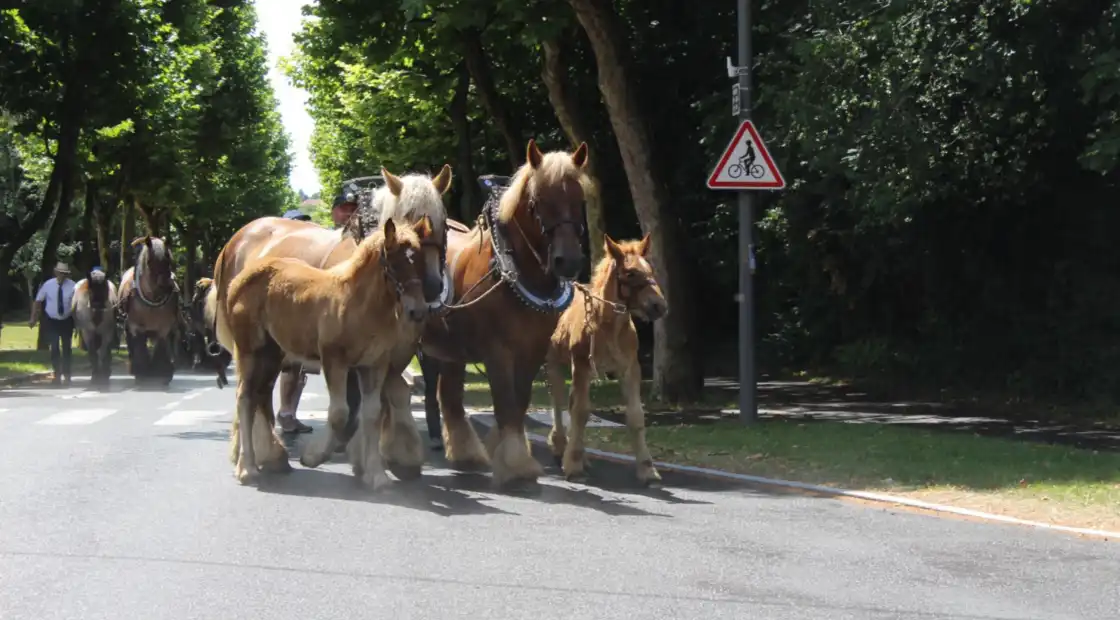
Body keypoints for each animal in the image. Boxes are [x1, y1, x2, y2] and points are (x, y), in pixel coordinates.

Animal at [118, 236, 180, 386]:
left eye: (168, 259)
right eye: (149, 261)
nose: (167, 286)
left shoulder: (164, 327)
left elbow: (161, 346)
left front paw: (162, 372)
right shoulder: (135, 327)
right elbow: (139, 346)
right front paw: (141, 372)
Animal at [204, 165, 452, 477]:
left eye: (443, 221)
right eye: (406, 216)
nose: (431, 288)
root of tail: (235, 241)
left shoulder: (392, 353)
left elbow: (392, 397)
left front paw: (396, 457)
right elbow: (349, 406)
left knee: (260, 391)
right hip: (253, 346)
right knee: (250, 393)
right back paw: (252, 453)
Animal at [415, 139, 589, 488]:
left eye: (579, 200)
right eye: (537, 202)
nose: (568, 261)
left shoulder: (532, 351)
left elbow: (519, 403)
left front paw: (505, 452)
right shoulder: (497, 351)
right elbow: (506, 404)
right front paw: (516, 466)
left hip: (450, 349)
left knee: (448, 396)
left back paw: (465, 453)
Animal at [545, 234, 668, 485]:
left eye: (650, 269)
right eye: (630, 273)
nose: (659, 306)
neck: (608, 327)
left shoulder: (629, 368)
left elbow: (635, 415)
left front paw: (647, 469)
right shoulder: (581, 365)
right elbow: (580, 411)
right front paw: (573, 465)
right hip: (554, 362)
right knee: (559, 401)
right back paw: (561, 446)